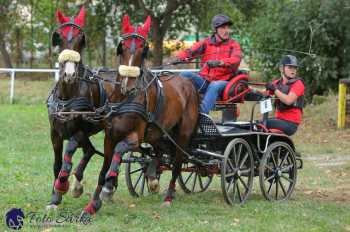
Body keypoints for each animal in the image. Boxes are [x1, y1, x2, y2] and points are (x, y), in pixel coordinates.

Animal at [46, 7, 108, 210]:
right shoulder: (55, 133)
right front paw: (54, 198)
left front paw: (62, 186)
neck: (68, 97)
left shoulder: (78, 132)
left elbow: (67, 161)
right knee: (90, 150)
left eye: (81, 39)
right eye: (58, 37)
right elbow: (57, 164)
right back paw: (78, 184)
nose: (69, 74)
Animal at [80, 13, 200, 215]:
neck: (125, 98)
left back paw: (168, 196)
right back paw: (152, 176)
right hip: (158, 133)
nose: (127, 85)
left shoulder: (134, 137)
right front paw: (92, 205)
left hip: (182, 133)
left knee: (177, 162)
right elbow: (103, 169)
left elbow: (120, 150)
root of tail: (188, 82)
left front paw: (109, 188)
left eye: (143, 49)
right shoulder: (109, 137)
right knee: (159, 152)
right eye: (122, 47)